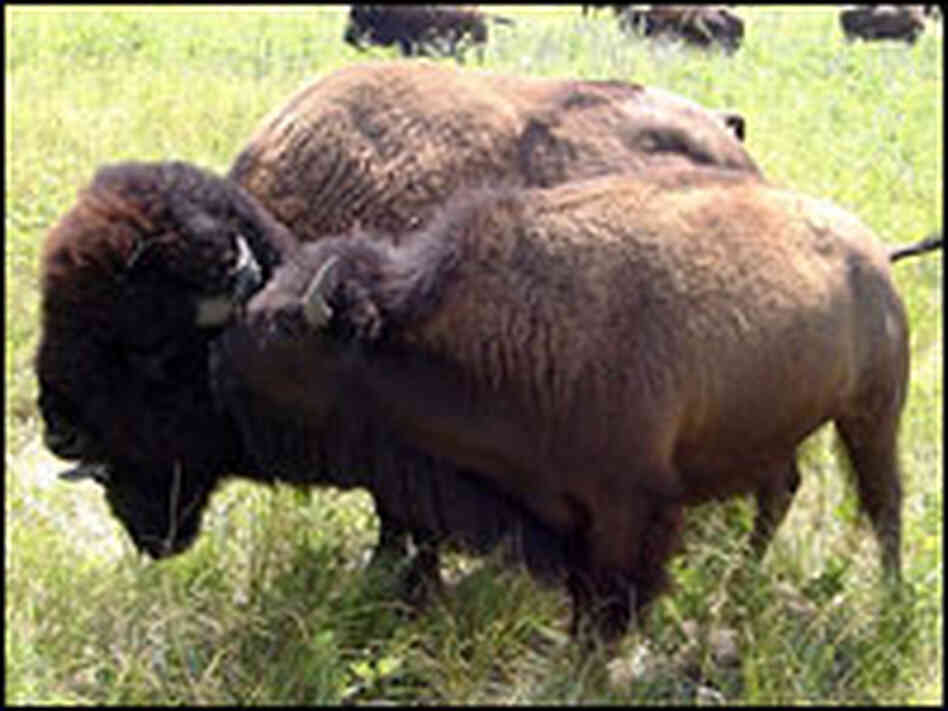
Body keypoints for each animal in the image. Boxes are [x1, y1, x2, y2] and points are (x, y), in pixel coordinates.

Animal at [214, 167, 928, 641]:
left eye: (285, 332)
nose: (222, 358)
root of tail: (872, 252)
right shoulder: (568, 514)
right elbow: (586, 595)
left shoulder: (627, 507)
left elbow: (612, 599)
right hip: (770, 430)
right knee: (780, 492)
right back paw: (742, 585)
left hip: (872, 413)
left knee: (883, 504)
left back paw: (890, 605)